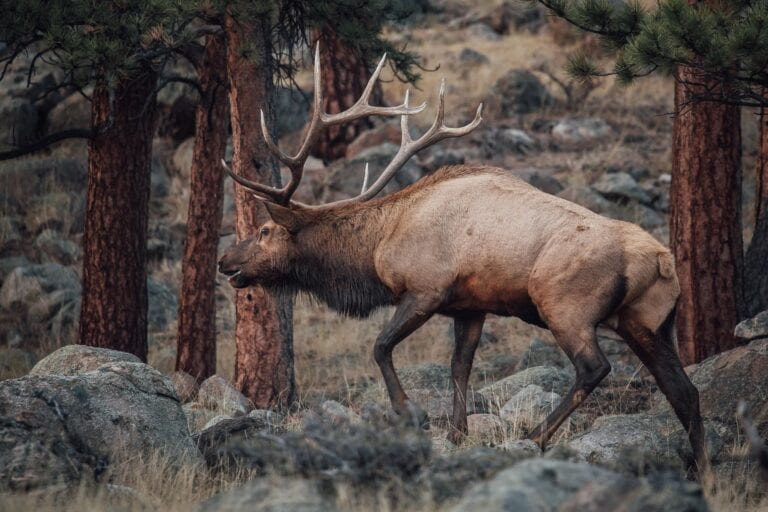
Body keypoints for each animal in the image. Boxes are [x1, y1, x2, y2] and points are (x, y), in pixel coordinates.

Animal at [218, 46, 708, 470]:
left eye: (263, 231)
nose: (225, 261)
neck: (377, 248)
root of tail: (662, 261)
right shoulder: (470, 306)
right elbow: (460, 367)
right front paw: (456, 433)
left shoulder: (425, 289)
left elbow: (380, 346)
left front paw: (410, 414)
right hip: (649, 322)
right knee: (684, 391)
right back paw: (700, 465)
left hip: (565, 306)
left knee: (595, 368)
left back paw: (535, 436)